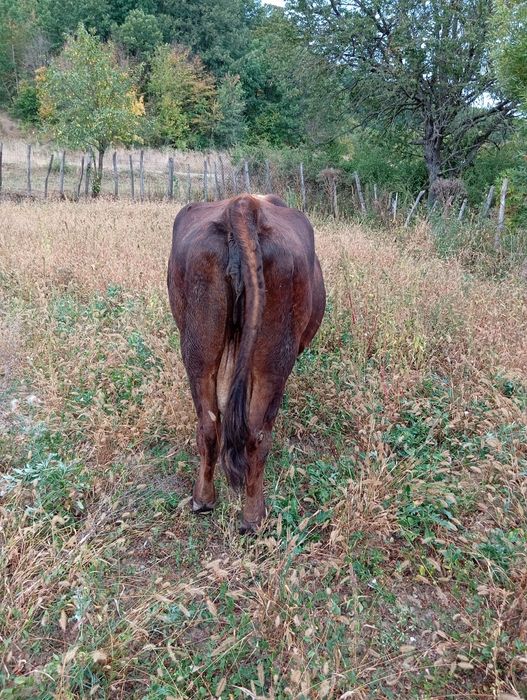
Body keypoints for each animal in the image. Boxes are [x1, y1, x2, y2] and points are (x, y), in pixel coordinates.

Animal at [167, 194, 325, 533]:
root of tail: (243, 205)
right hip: (275, 361)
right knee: (257, 435)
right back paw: (254, 516)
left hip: (199, 350)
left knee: (210, 426)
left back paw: (203, 499)